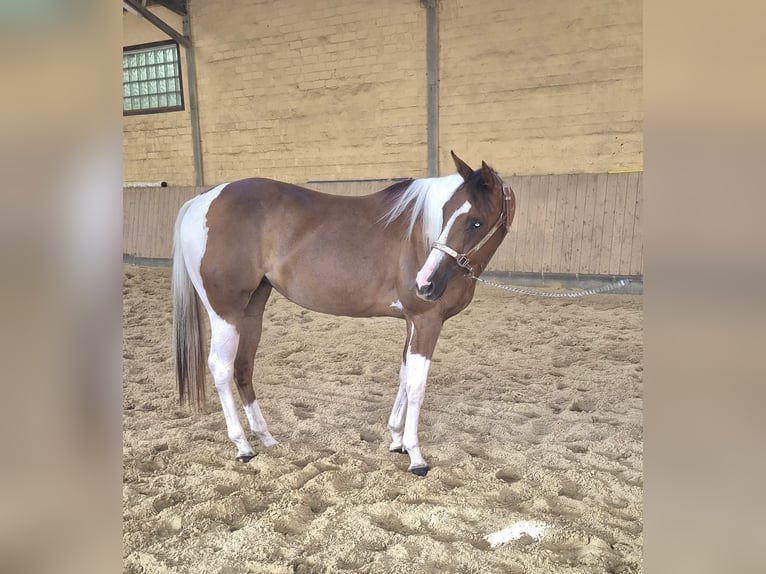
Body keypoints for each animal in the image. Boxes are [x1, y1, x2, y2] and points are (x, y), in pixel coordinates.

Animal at [172, 151, 516, 476]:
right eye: (446, 214)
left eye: (475, 222)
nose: (425, 283)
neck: (419, 238)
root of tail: (202, 200)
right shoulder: (426, 320)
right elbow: (417, 386)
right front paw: (415, 455)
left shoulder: (412, 322)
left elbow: (404, 376)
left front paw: (396, 440)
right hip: (226, 312)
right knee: (221, 368)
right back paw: (242, 446)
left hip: (252, 311)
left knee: (243, 367)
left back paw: (266, 437)